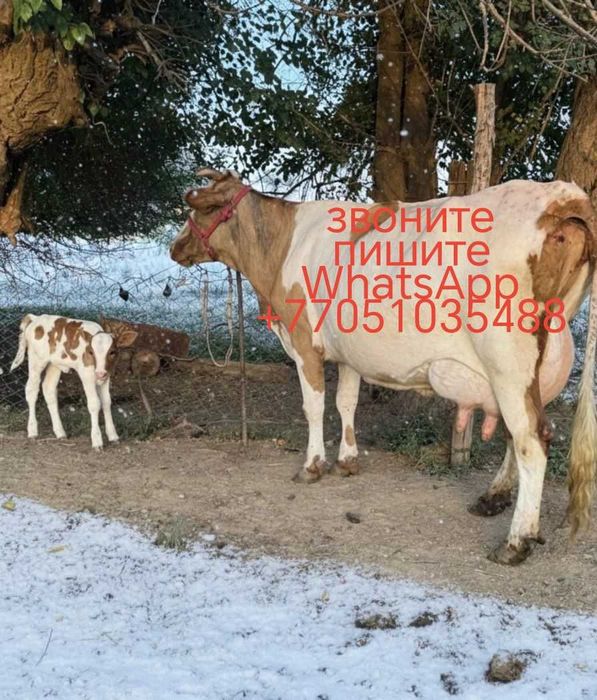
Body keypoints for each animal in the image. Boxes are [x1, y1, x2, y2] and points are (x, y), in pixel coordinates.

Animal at [10, 314, 138, 449]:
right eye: (91, 352)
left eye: (112, 352)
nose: (100, 373)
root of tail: (36, 318)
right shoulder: (87, 375)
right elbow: (94, 404)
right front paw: (97, 440)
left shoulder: (106, 377)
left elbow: (106, 402)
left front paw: (113, 436)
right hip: (36, 360)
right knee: (31, 390)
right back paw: (33, 431)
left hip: (54, 364)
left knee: (48, 389)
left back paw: (60, 432)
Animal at [170, 168, 597, 565]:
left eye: (200, 209)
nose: (175, 247)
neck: (283, 245)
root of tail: (562, 195)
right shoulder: (349, 353)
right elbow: (346, 402)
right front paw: (347, 461)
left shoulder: (305, 343)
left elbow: (314, 407)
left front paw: (312, 466)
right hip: (532, 368)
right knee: (519, 434)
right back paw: (493, 498)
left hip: (508, 361)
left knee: (531, 440)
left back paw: (515, 541)